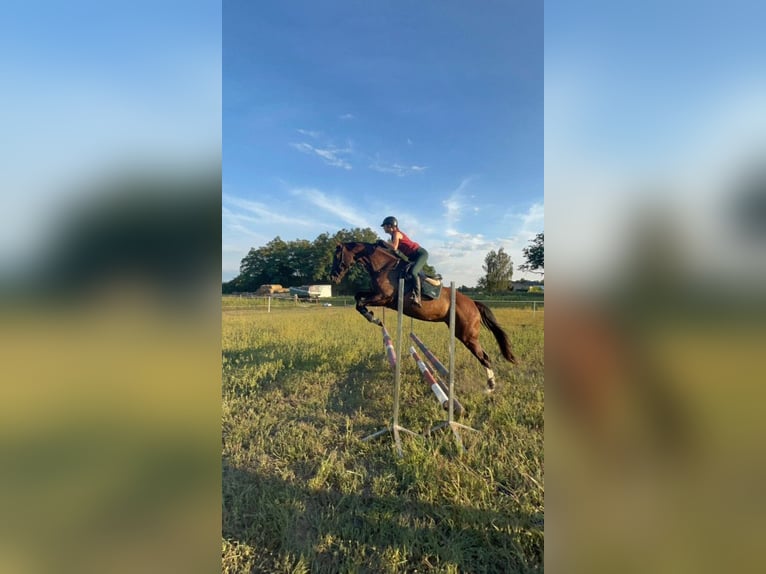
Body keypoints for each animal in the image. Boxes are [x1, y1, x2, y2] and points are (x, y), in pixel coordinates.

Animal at [329, 241, 516, 391]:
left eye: (337, 256)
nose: (333, 277)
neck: (384, 267)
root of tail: (473, 303)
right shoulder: (376, 295)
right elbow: (357, 297)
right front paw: (374, 317)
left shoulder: (384, 298)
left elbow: (360, 303)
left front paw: (373, 318)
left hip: (466, 335)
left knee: (484, 357)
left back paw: (490, 387)